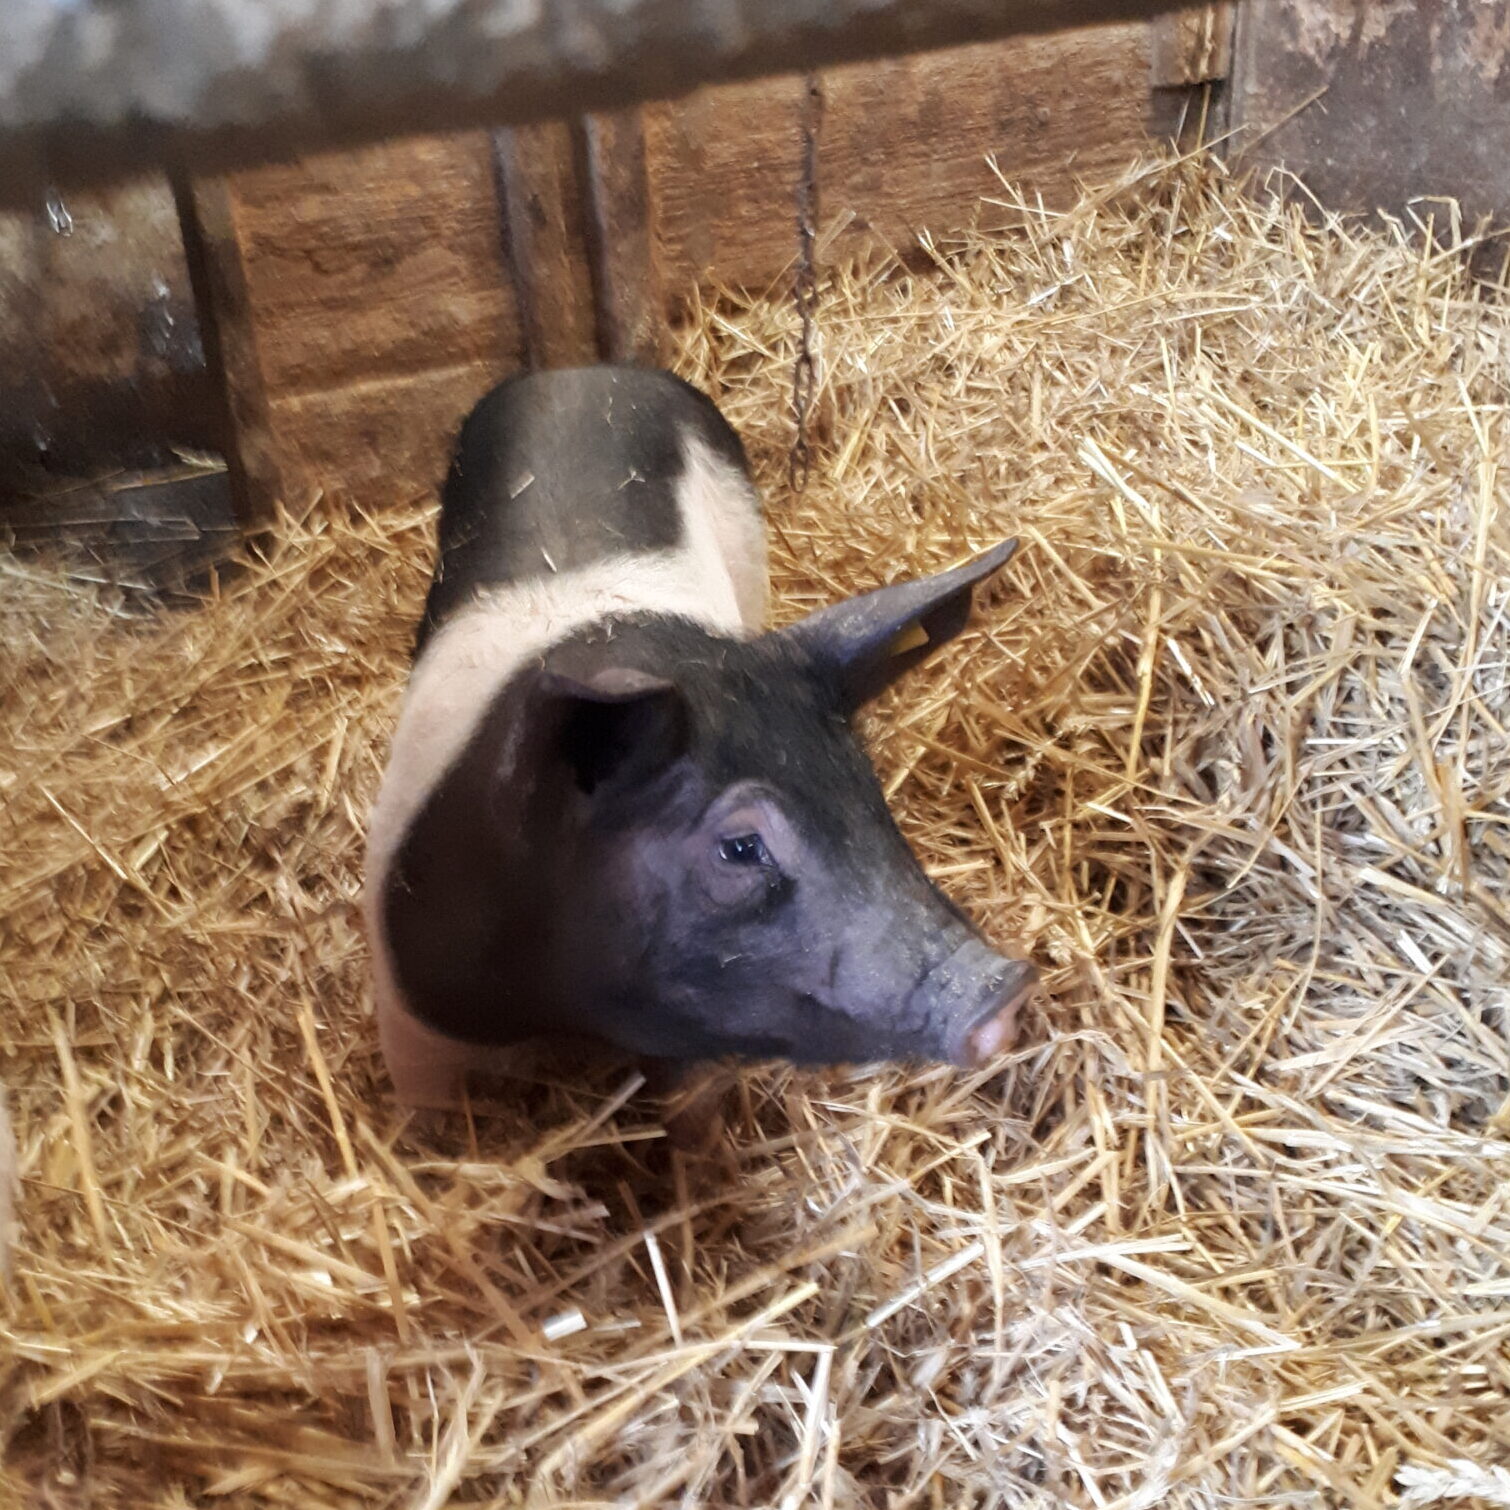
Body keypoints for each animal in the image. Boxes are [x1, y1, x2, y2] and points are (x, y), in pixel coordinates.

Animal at [363, 365, 1036, 1112]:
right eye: (740, 847)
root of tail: (583, 371)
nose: (1005, 988)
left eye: (868, 791)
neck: (564, 1008)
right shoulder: (410, 1012)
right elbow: (428, 1115)